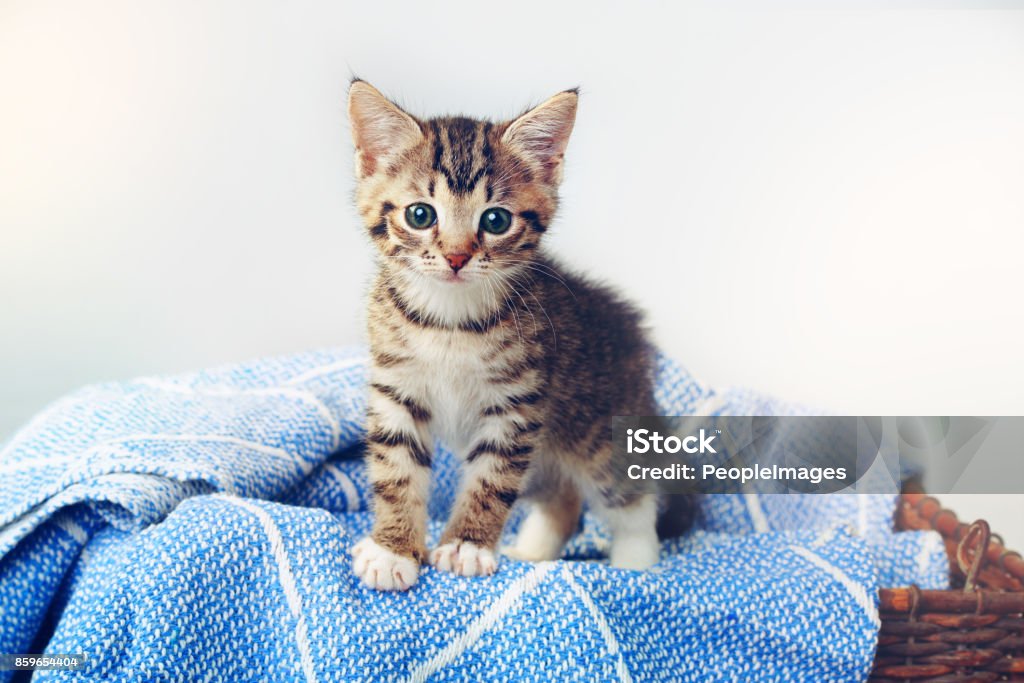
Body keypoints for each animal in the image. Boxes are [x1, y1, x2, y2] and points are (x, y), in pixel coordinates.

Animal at [350, 81, 688, 593]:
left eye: (495, 221)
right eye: (420, 214)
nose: (456, 258)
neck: (450, 321)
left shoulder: (517, 402)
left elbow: (490, 479)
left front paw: (465, 546)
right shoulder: (397, 389)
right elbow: (396, 470)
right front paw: (393, 549)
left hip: (599, 430)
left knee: (631, 494)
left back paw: (635, 562)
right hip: (548, 458)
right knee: (563, 500)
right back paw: (532, 552)